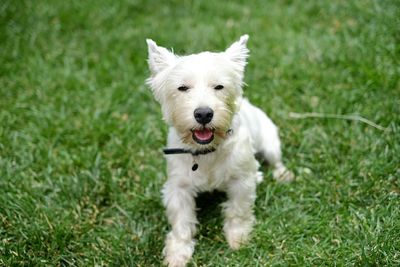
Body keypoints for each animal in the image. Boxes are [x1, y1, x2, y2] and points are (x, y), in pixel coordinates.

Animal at [145, 34, 292, 266]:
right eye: (182, 88)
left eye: (219, 86)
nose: (204, 114)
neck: (207, 151)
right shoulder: (178, 187)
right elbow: (181, 222)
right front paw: (177, 254)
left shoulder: (242, 179)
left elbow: (238, 210)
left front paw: (238, 239)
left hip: (270, 141)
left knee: (276, 160)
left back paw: (282, 174)